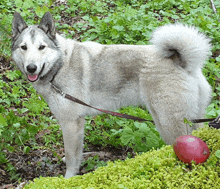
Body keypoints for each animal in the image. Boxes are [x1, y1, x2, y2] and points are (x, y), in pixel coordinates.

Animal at [11, 12, 211, 179]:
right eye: (23, 47)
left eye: (41, 47)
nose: (31, 68)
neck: (59, 66)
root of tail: (182, 61)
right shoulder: (77, 125)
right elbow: (75, 152)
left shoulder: (71, 124)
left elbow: (71, 157)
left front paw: (69, 178)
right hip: (191, 119)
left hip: (168, 124)